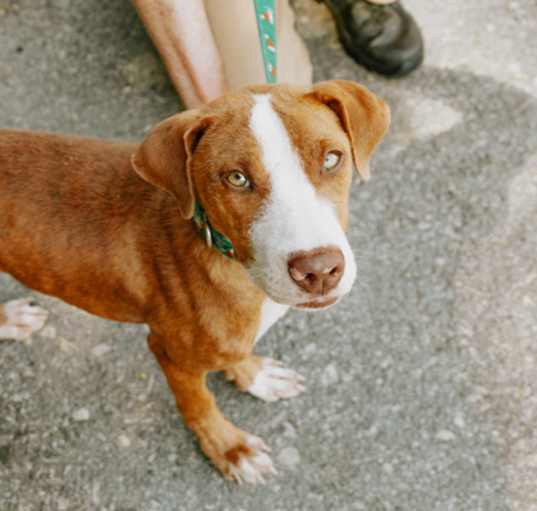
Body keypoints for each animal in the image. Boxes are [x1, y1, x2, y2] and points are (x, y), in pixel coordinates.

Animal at [0, 80, 388, 484]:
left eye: (331, 159)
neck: (229, 258)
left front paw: (255, 376)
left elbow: (234, 353)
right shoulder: (171, 353)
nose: (319, 270)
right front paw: (229, 448)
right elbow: (199, 403)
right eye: (237, 178)